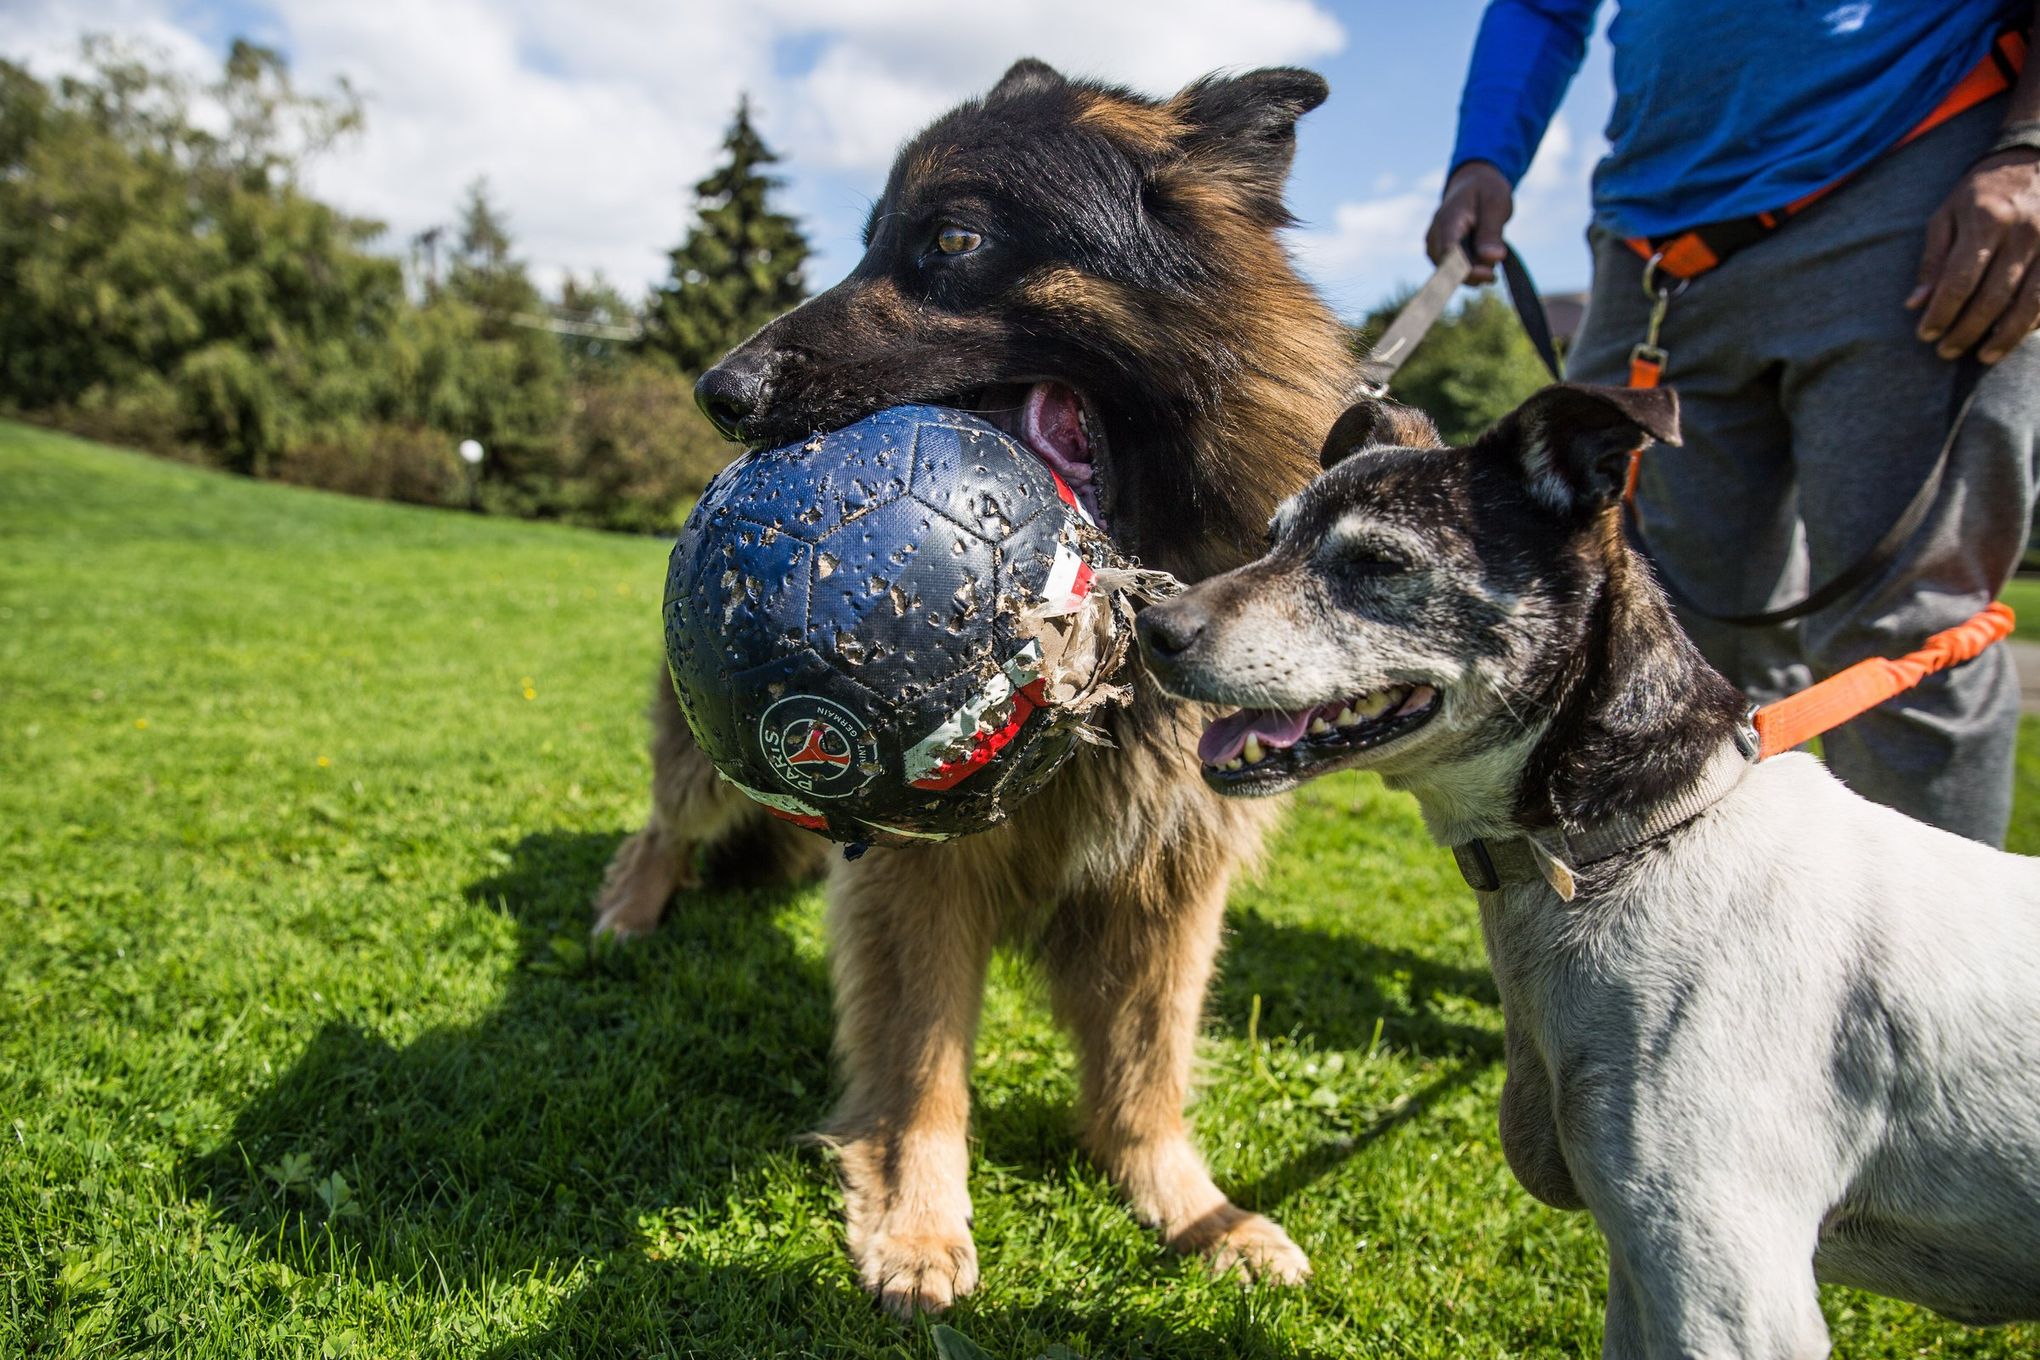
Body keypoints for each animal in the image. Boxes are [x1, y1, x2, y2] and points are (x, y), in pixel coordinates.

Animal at [591, 55, 1362, 1321]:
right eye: (864, 241)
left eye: (951, 239)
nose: (718, 390)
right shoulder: (919, 866)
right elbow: (920, 1064)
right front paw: (916, 1222)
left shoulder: (1170, 883)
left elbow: (1148, 1068)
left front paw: (1193, 1209)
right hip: (710, 753)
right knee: (665, 820)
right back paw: (628, 912)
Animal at [1142, 385, 2040, 1360]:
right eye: (1272, 538)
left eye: (1380, 561)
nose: (1154, 628)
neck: (1637, 841)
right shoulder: (1644, 1271)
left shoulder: (1728, 1291)